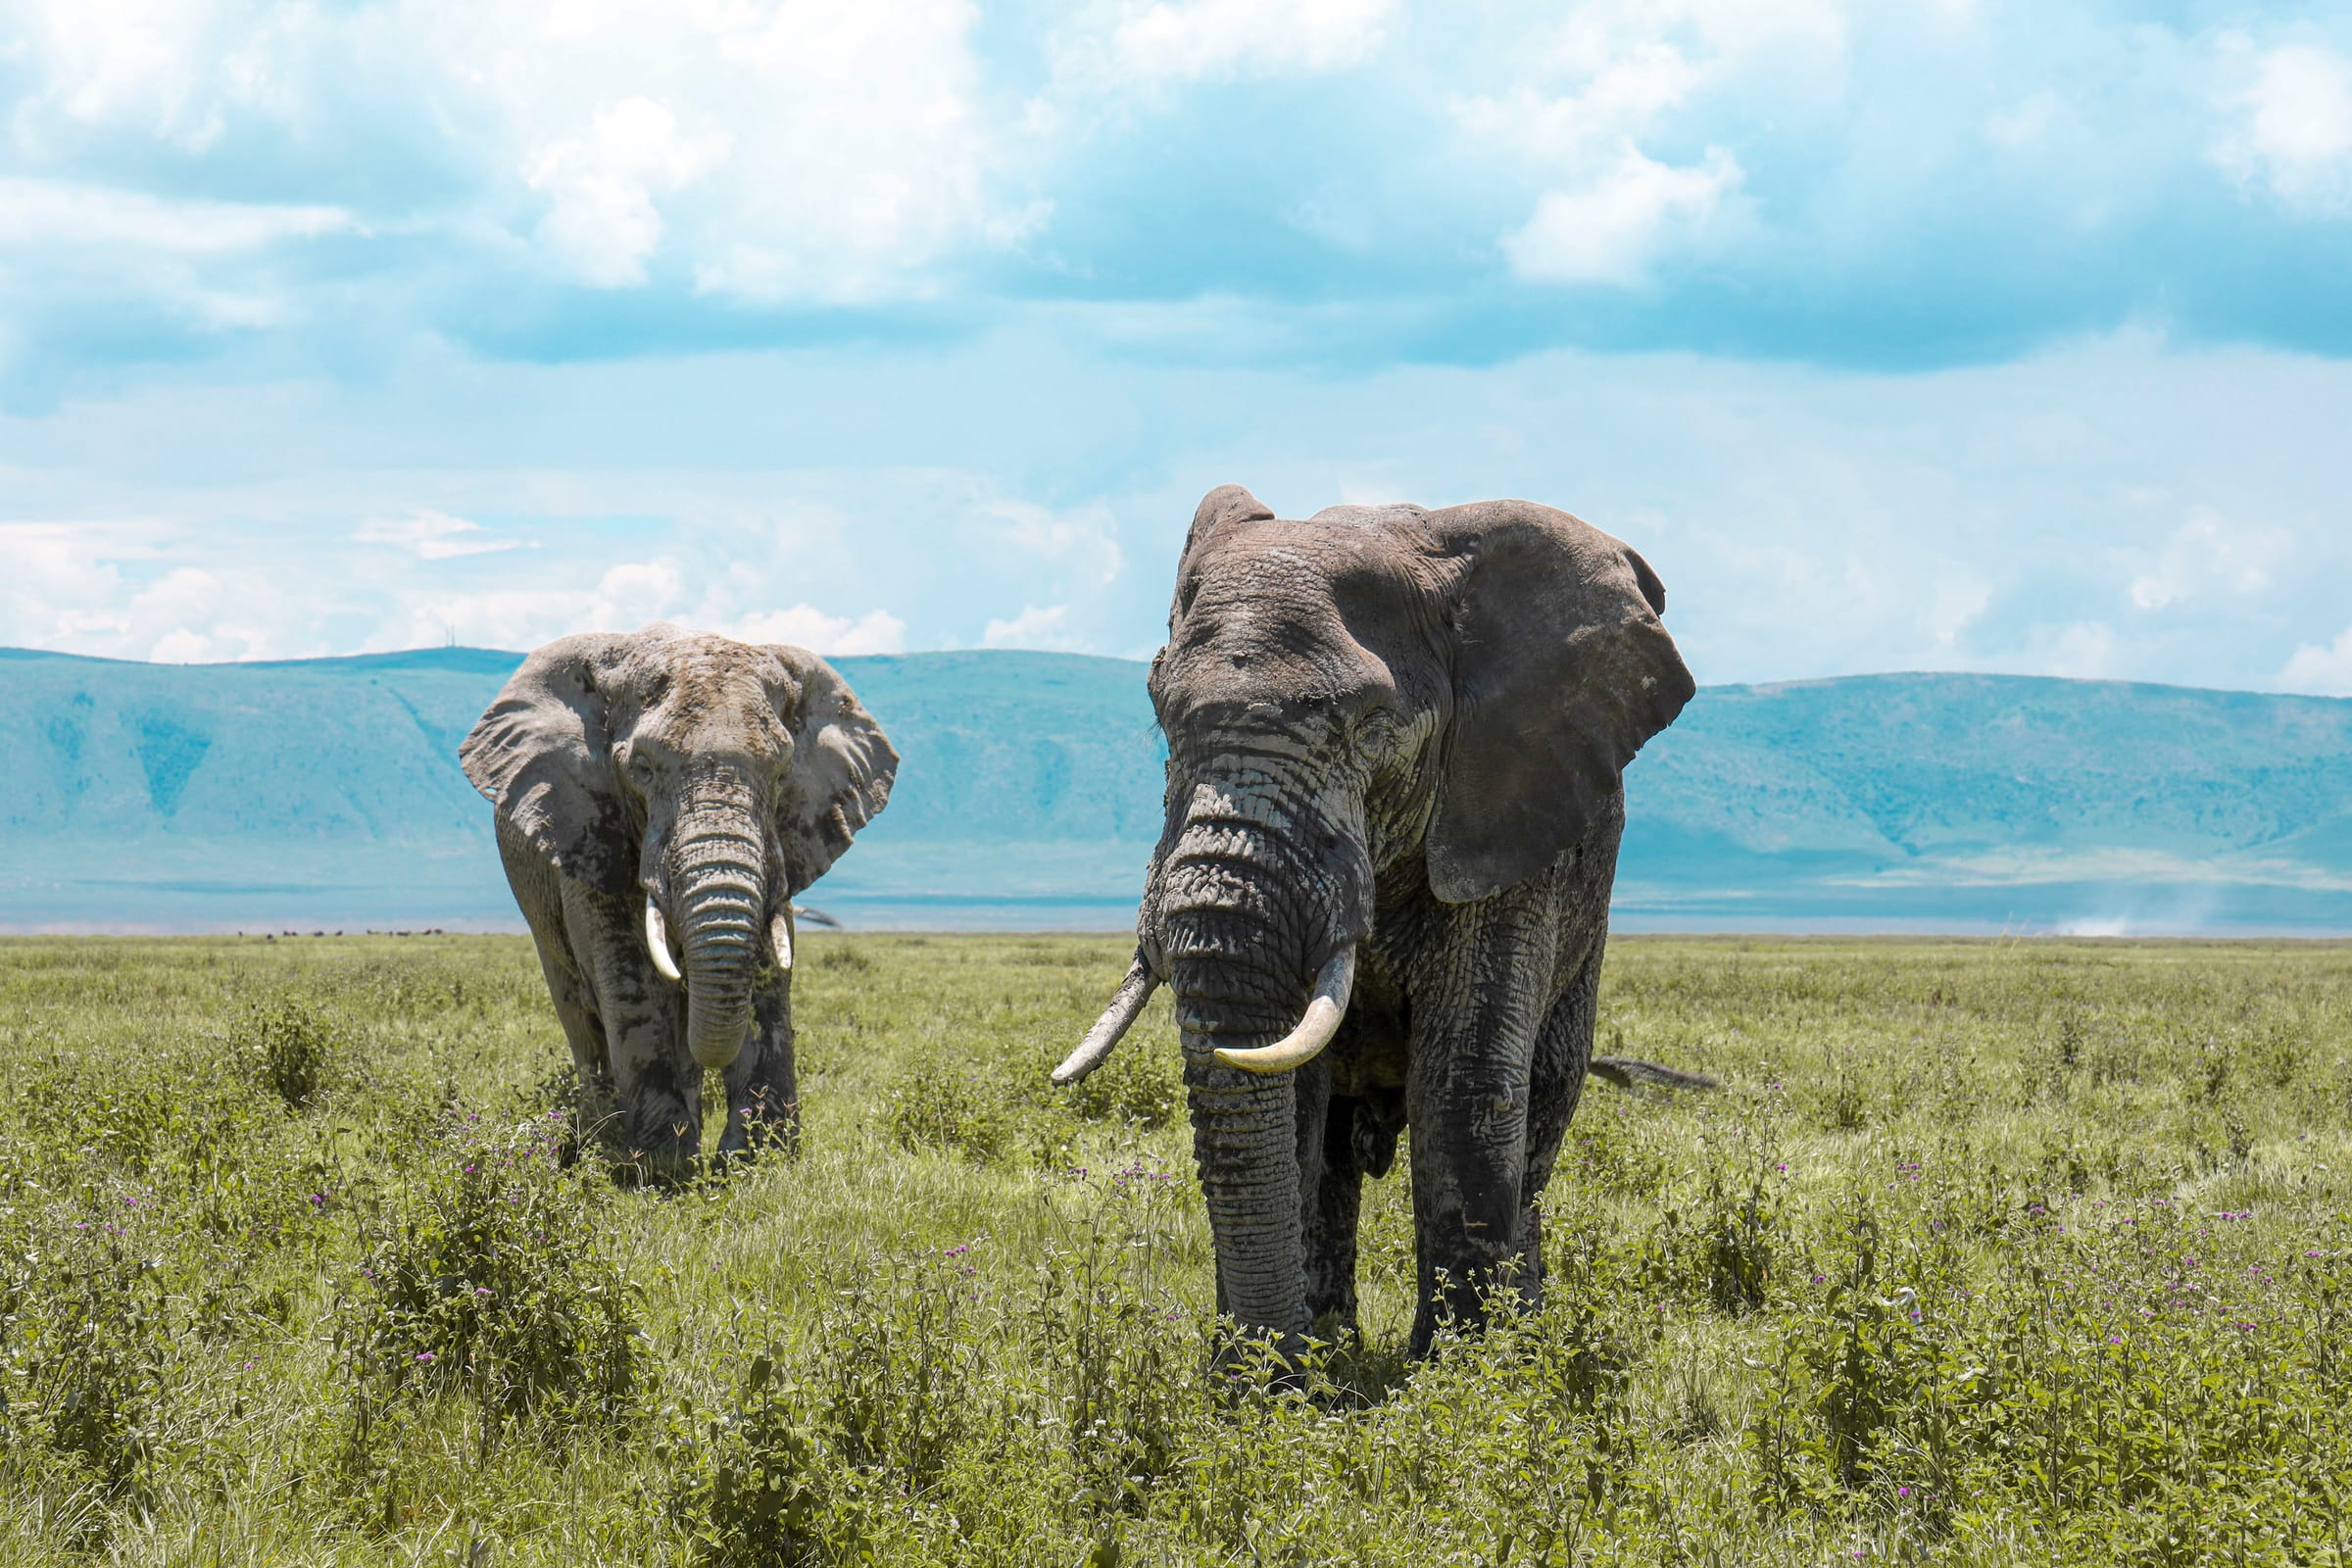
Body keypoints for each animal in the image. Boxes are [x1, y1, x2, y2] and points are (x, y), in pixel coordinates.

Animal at [459, 623, 897, 1177]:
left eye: (782, 774)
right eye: (643, 769)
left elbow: (767, 975)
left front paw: (757, 1163)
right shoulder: (588, 829)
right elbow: (632, 980)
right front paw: (660, 1167)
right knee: (578, 1010)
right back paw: (597, 1142)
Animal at [1056, 485, 1697, 1357]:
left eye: (1370, 727)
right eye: (1162, 719)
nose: (1258, 1369)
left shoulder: (1506, 819)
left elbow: (1464, 1080)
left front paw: (1457, 1373)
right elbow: (1292, 1093)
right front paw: (1287, 1374)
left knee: (1544, 1104)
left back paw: (1521, 1338)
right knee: (1333, 1148)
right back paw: (1335, 1339)